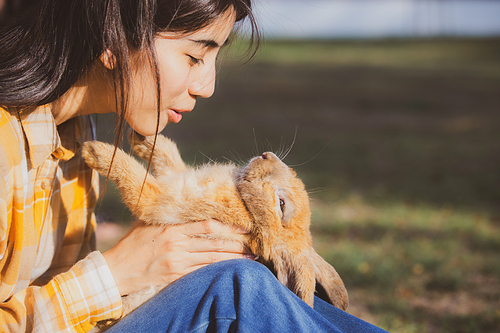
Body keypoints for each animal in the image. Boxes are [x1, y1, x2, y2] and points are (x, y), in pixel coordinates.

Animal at [82, 131, 348, 320]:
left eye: (281, 203)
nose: (267, 155)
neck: (248, 209)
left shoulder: (166, 200)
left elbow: (139, 179)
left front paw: (95, 151)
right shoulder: (178, 178)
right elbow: (168, 156)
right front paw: (143, 139)